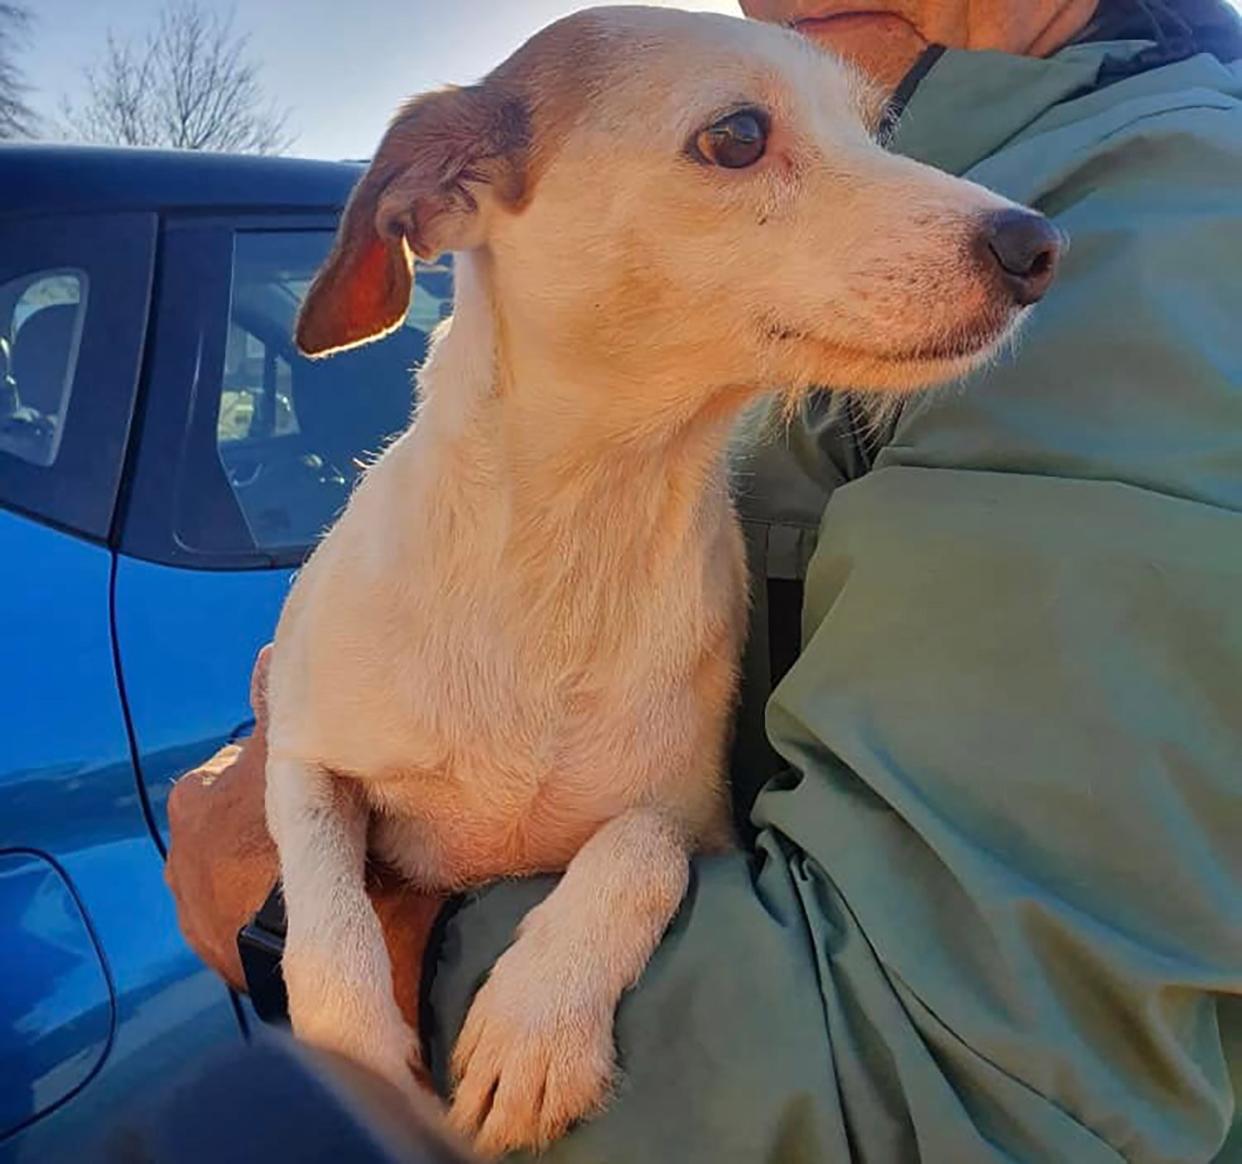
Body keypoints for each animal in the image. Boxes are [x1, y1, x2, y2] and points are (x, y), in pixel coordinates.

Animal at [262, 6, 1058, 1152]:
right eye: (736, 136)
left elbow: (640, 846)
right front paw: (357, 1055)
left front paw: (536, 1019)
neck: (578, 534)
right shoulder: (297, 754)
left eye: (878, 131)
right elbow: (327, 914)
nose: (1038, 245)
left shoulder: (698, 820)